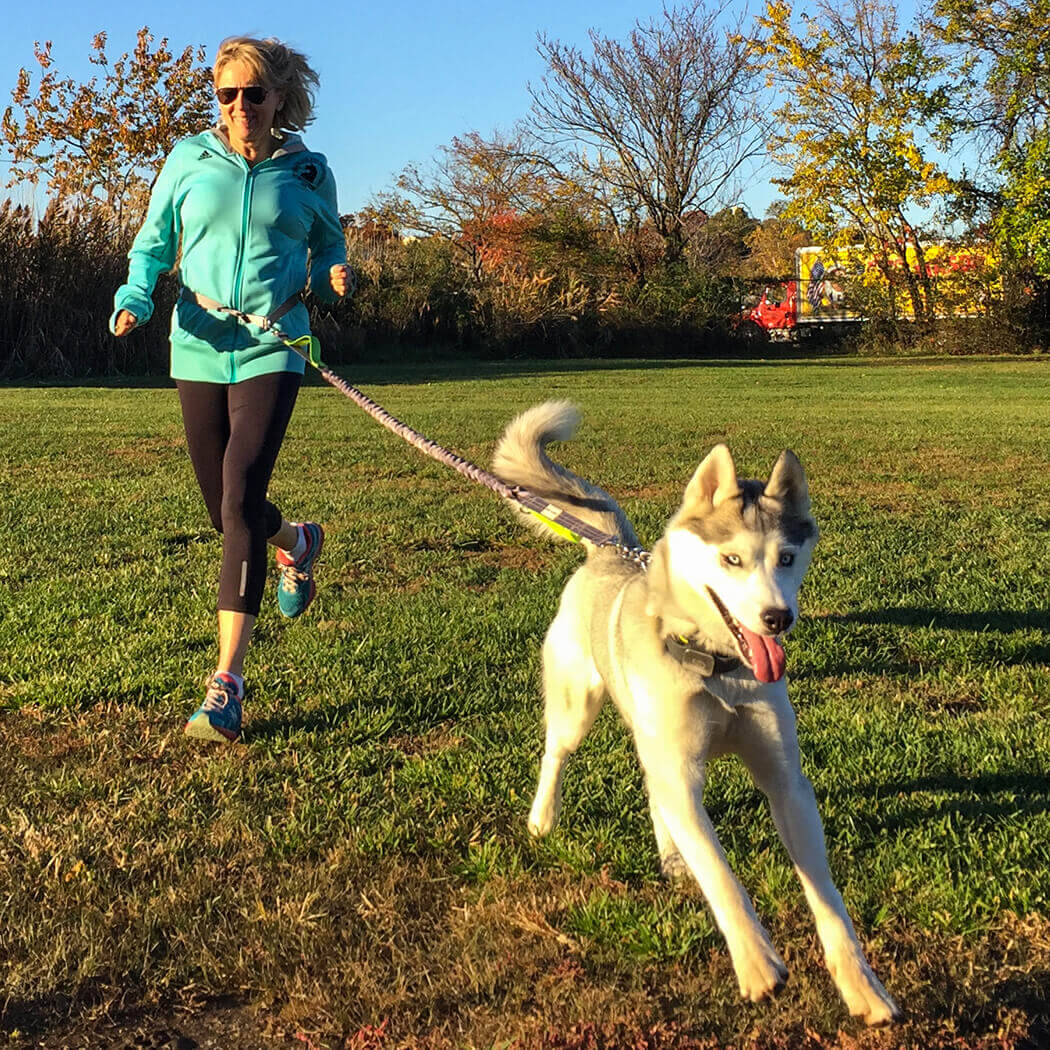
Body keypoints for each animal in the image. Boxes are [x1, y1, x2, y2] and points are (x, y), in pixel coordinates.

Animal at [495, 403, 898, 1024]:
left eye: (785, 558)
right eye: (731, 559)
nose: (777, 618)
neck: (718, 668)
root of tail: (609, 550)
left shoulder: (786, 782)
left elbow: (828, 898)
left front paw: (862, 986)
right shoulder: (683, 772)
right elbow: (721, 874)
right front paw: (757, 964)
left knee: (653, 786)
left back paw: (670, 853)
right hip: (577, 708)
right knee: (557, 755)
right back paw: (543, 818)